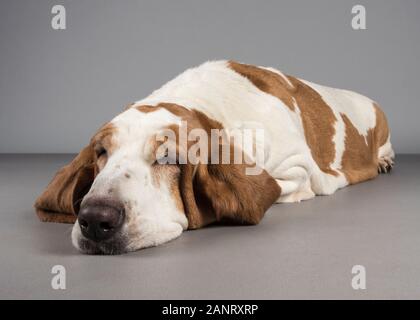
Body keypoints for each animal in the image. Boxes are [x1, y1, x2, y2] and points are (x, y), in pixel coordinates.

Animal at [33, 60, 394, 255]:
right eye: (102, 152)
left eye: (168, 157)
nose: (96, 218)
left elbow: (281, 187)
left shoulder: (296, 167)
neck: (209, 110)